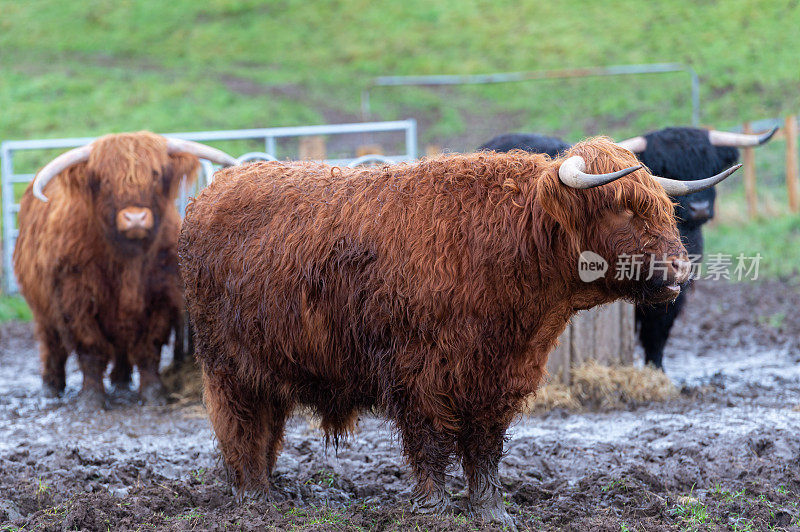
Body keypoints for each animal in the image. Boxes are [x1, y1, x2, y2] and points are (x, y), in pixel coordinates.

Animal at [14, 131, 236, 410]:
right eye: (106, 180)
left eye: (155, 174)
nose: (135, 218)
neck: (127, 261)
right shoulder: (76, 299)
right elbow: (90, 349)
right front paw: (91, 399)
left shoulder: (161, 297)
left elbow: (149, 347)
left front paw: (154, 393)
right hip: (42, 307)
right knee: (51, 345)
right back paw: (51, 387)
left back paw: (121, 381)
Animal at [178, 138, 740, 528]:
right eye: (623, 208)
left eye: (662, 207)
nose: (680, 267)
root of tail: (214, 192)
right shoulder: (418, 374)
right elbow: (429, 442)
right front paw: (436, 507)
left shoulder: (500, 376)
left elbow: (485, 446)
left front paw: (492, 511)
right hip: (229, 365)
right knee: (239, 425)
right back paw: (253, 498)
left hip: (269, 363)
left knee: (267, 425)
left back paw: (271, 490)